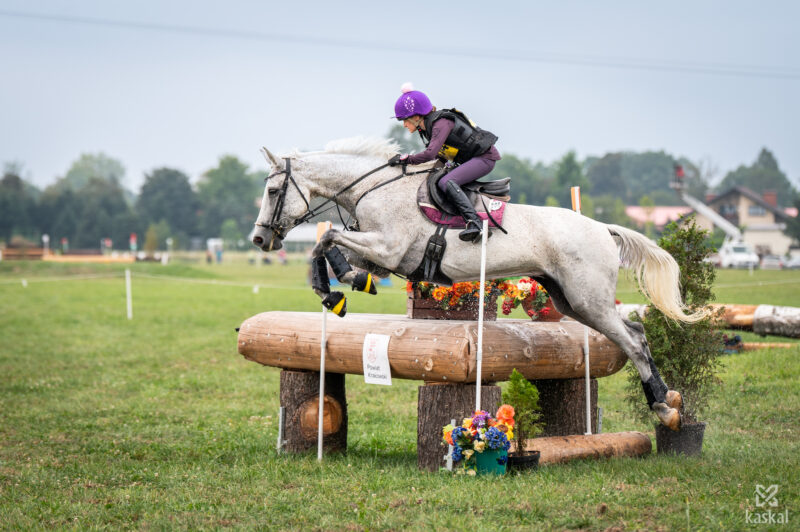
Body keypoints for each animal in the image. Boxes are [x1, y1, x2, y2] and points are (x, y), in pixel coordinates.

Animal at [252, 135, 708, 430]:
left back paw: (664, 409)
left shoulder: (389, 248)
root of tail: (602, 228)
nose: (260, 240)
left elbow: (328, 238)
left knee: (633, 340)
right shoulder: (379, 254)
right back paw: (665, 402)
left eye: (273, 191)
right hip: (571, 300)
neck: (372, 188)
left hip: (588, 299)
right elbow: (327, 247)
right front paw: (336, 291)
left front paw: (344, 284)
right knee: (634, 332)